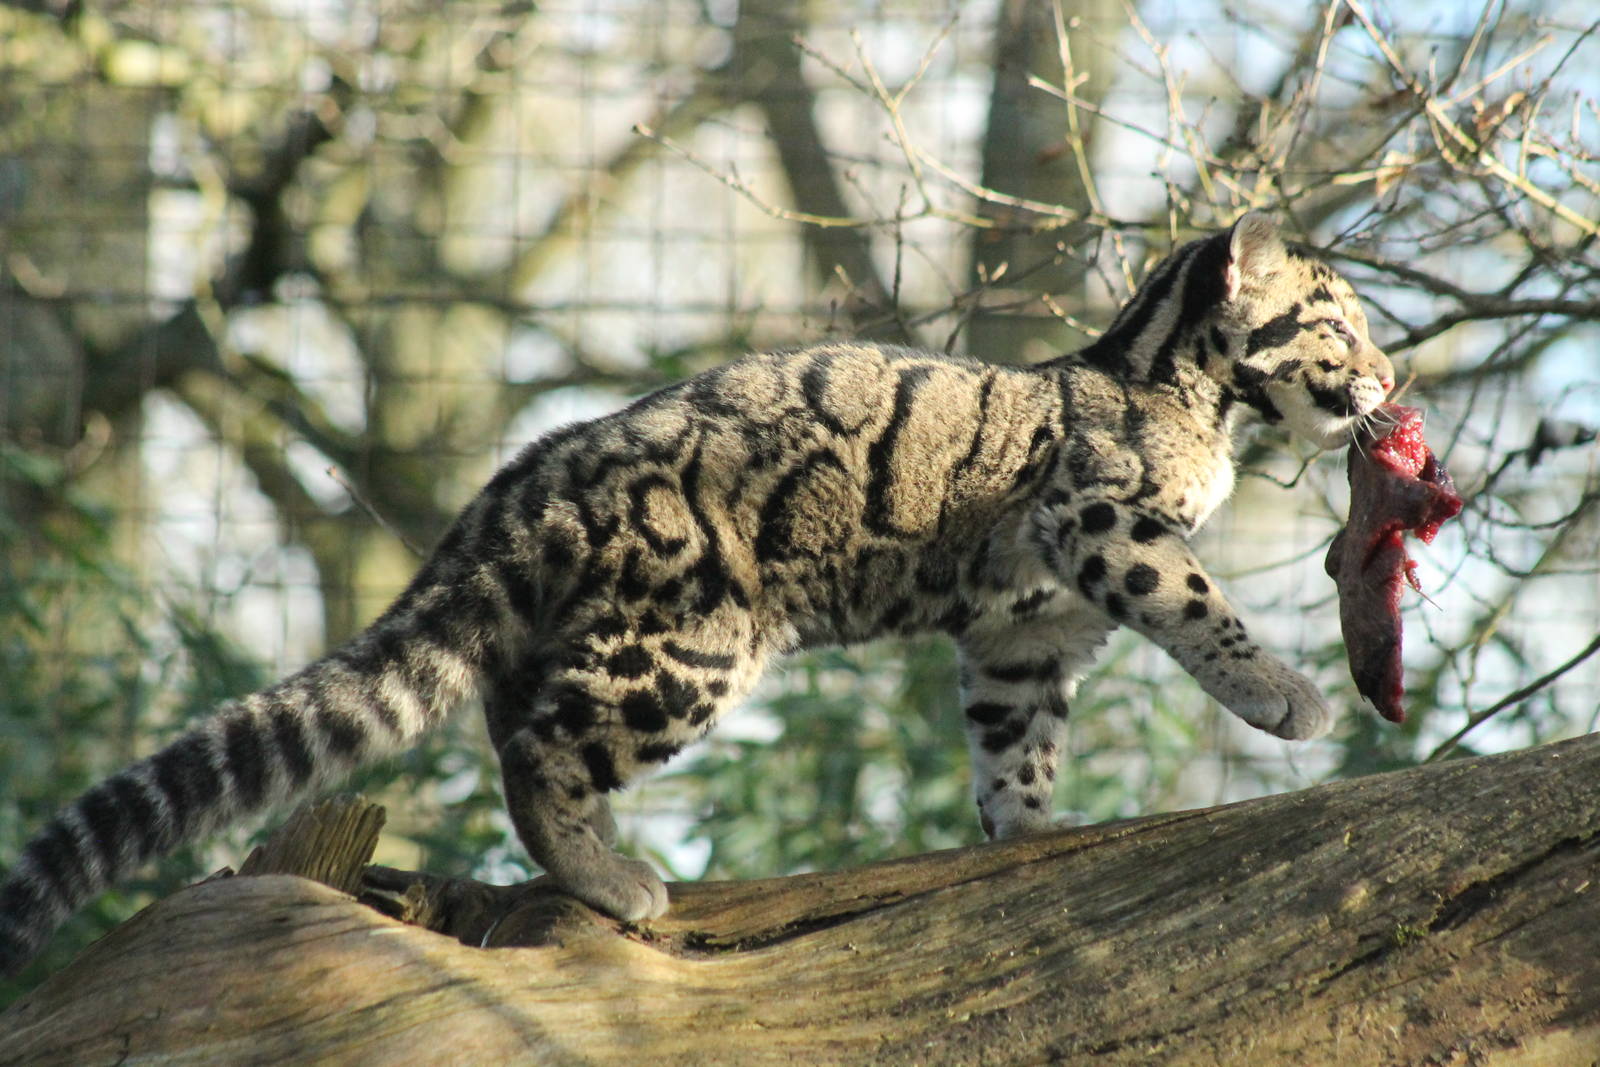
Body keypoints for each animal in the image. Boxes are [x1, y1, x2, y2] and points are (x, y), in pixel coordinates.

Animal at [0, 212, 1394, 976]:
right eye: (1339, 323)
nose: (1391, 375)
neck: (1183, 394)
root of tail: (516, 481)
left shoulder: (1022, 633)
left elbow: (1016, 745)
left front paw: (1026, 833)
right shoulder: (1100, 519)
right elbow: (1200, 601)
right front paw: (1287, 696)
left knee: (512, 717)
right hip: (688, 640)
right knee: (539, 754)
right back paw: (612, 877)